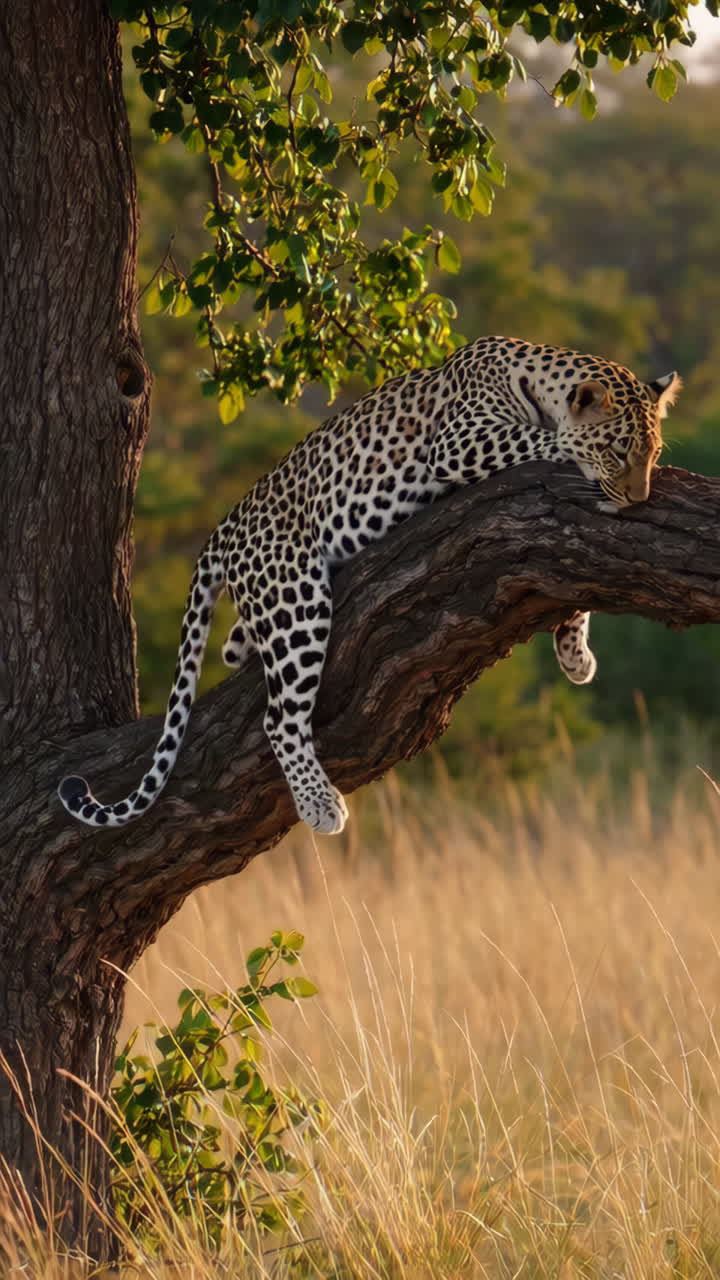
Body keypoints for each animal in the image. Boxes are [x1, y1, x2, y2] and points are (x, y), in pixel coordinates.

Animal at [58, 335, 681, 835]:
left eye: (652, 453)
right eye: (619, 451)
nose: (639, 498)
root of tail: (224, 530)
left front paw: (575, 652)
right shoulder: (459, 441)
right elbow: (544, 443)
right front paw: (576, 457)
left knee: (242, 648)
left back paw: (241, 647)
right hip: (294, 597)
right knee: (280, 717)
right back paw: (320, 805)